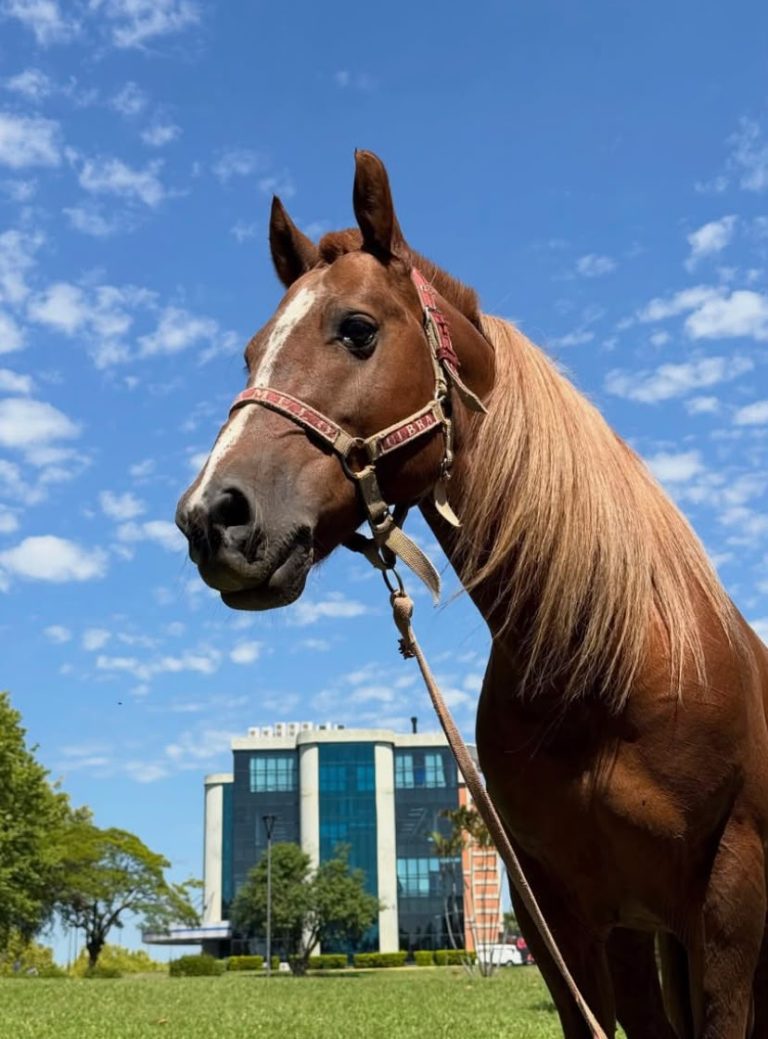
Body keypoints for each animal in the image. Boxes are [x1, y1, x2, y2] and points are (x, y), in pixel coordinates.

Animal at [176, 150, 768, 1039]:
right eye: (250, 355)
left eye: (357, 328)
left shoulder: (728, 900)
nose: (212, 516)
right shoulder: (571, 916)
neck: (611, 672)